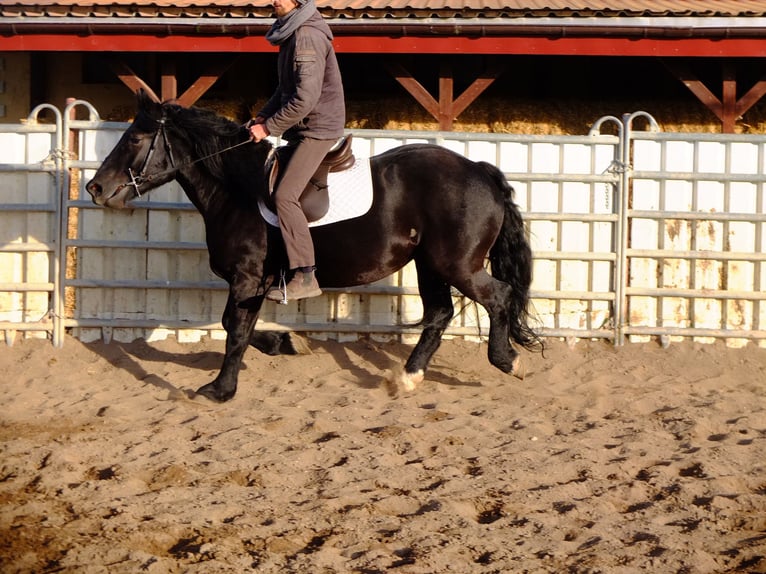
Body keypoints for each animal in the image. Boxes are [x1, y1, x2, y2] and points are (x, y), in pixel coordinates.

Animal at [87, 92, 544, 402]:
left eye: (135, 138)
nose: (95, 188)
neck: (238, 188)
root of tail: (479, 170)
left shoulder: (247, 279)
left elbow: (233, 330)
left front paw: (220, 389)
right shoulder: (256, 283)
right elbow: (238, 326)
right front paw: (287, 344)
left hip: (457, 265)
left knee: (497, 297)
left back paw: (510, 362)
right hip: (429, 264)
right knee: (439, 314)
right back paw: (407, 377)